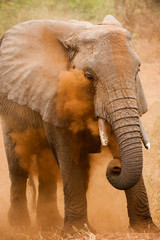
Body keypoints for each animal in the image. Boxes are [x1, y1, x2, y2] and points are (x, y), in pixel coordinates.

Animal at [0, 15, 157, 234]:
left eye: (138, 71)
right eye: (89, 76)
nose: (115, 166)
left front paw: (145, 229)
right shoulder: (55, 94)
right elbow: (69, 153)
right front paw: (76, 232)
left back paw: (49, 224)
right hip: (9, 111)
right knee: (18, 164)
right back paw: (20, 226)